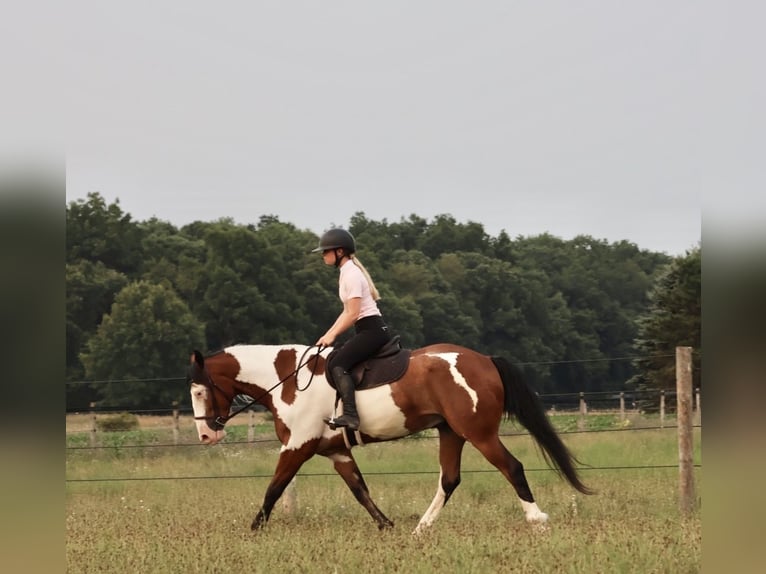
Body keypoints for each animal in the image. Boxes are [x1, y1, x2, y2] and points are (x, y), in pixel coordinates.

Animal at [187, 343, 593, 533]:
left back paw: (537, 520)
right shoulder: (335, 453)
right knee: (449, 479)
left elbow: (273, 489)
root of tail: (484, 360)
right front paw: (387, 527)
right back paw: (420, 530)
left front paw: (253, 530)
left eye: (199, 390)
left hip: (478, 433)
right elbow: (360, 491)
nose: (206, 434)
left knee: (512, 467)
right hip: (451, 433)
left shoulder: (297, 446)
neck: (288, 380)